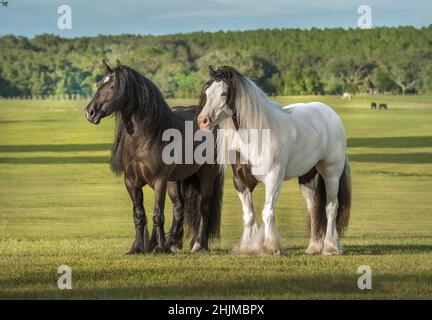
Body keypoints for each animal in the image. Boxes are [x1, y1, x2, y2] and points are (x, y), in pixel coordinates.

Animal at [85, 60, 224, 255]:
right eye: (99, 85)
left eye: (112, 86)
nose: (90, 112)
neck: (147, 137)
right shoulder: (131, 182)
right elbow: (139, 215)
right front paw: (138, 248)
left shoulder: (159, 181)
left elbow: (158, 214)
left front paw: (160, 248)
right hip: (175, 181)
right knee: (179, 209)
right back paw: (172, 243)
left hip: (206, 176)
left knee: (203, 207)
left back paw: (199, 246)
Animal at [197, 66, 352, 256]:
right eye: (207, 91)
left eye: (224, 93)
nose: (202, 121)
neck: (256, 134)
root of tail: (330, 114)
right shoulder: (240, 182)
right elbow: (248, 215)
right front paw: (246, 248)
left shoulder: (273, 178)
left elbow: (267, 212)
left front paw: (270, 247)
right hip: (308, 178)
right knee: (314, 207)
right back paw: (313, 247)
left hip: (331, 173)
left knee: (331, 207)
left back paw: (330, 247)